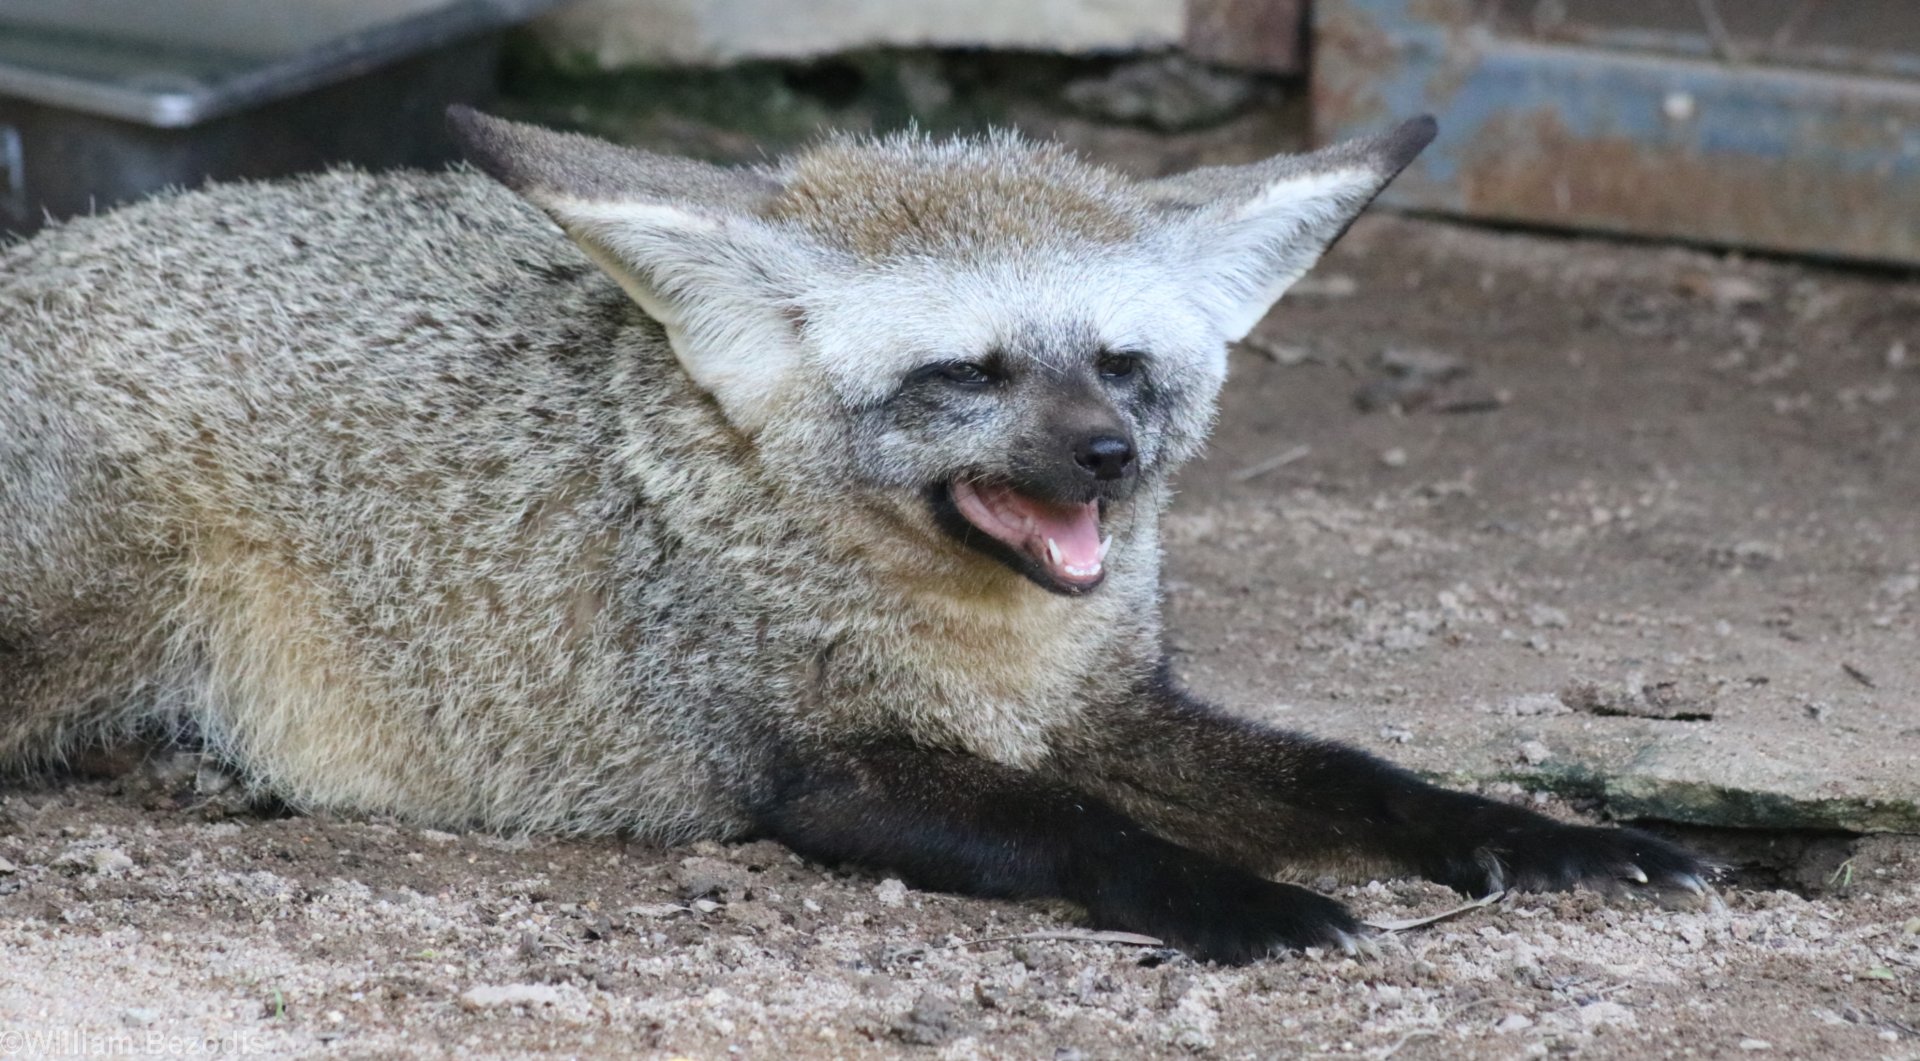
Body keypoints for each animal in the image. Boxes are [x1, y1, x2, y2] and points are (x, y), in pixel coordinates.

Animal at [0, 107, 1705, 962]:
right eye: (972, 373)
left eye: (1122, 364)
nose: (1109, 459)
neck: (987, 655)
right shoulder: (815, 771)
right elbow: (1077, 830)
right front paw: (1237, 900)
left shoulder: (1115, 711)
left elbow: (1359, 776)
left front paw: (1559, 838)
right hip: (74, 620)